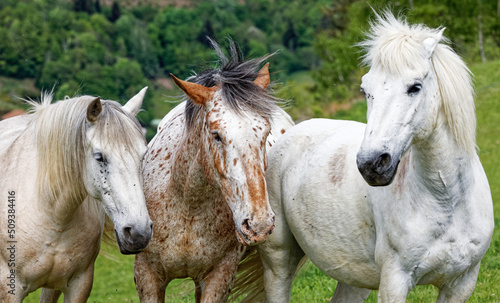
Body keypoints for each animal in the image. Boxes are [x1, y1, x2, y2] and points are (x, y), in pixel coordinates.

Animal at [135, 39, 294, 302]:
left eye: (266, 132)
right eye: (216, 134)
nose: (258, 225)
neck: (189, 206)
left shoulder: (220, 276)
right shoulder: (147, 276)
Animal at [234, 10, 496, 302]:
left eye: (415, 87)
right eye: (365, 90)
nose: (371, 164)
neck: (447, 200)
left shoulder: (461, 284)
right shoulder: (395, 280)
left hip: (353, 277)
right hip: (278, 263)